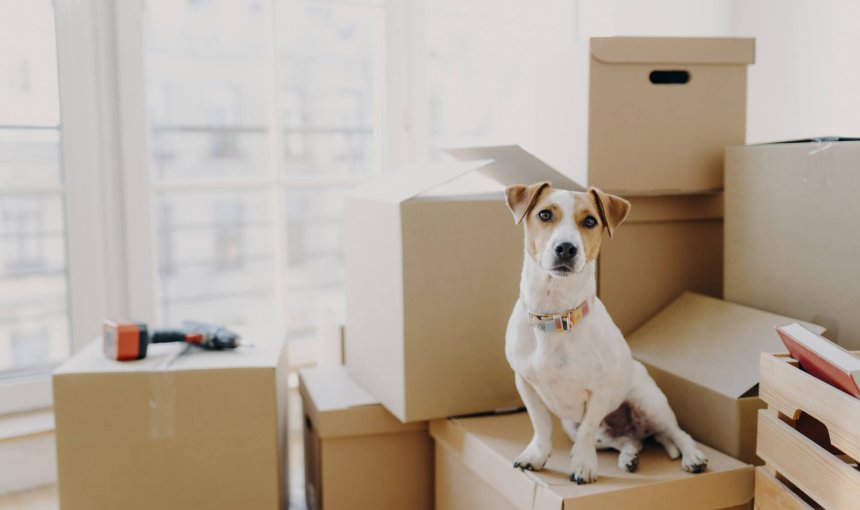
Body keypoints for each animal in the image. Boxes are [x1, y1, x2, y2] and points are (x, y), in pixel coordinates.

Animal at [504, 182, 704, 482]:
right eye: (544, 214)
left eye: (590, 221)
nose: (566, 248)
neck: (556, 316)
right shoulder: (525, 384)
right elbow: (541, 425)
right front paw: (536, 455)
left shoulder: (599, 393)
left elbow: (586, 433)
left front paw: (583, 465)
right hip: (582, 427)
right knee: (628, 440)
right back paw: (629, 456)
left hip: (650, 404)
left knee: (678, 434)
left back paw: (693, 457)